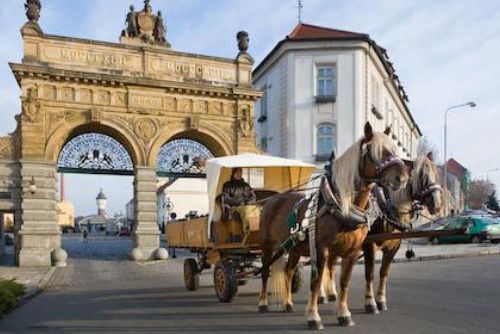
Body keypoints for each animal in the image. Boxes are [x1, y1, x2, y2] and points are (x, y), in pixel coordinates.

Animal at [260, 122, 408, 328]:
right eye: (376, 151)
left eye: (395, 149)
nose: (402, 178)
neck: (340, 206)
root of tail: (271, 199)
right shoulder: (321, 250)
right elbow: (316, 281)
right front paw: (313, 317)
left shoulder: (352, 252)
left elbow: (344, 282)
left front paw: (344, 314)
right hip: (267, 246)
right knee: (265, 271)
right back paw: (263, 303)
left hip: (295, 248)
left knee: (288, 272)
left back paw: (288, 303)